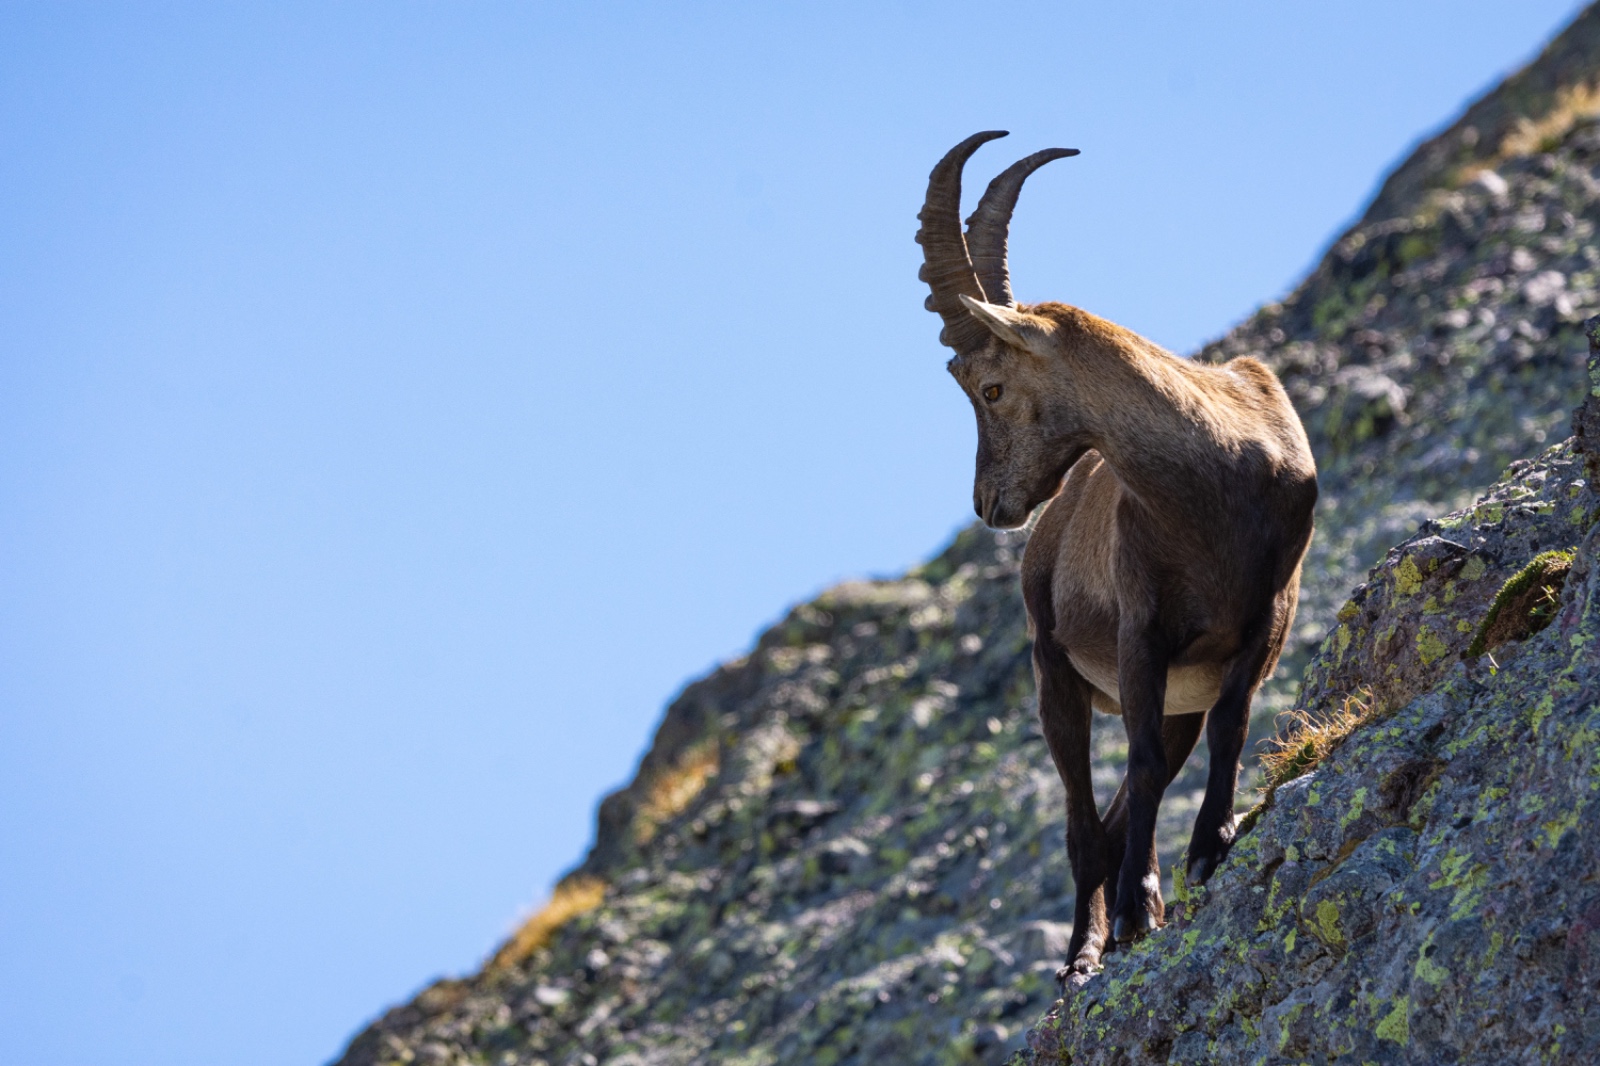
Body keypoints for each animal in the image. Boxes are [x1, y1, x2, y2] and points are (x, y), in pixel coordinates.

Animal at [916, 131, 1317, 979]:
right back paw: (1082, 952)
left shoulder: (1260, 620)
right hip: (1055, 674)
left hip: (1175, 697)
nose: (988, 504)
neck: (1211, 482)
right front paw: (1140, 904)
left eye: (990, 387)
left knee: (1116, 808)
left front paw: (1212, 846)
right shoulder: (1144, 629)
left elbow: (1230, 724)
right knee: (1083, 823)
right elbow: (1137, 760)